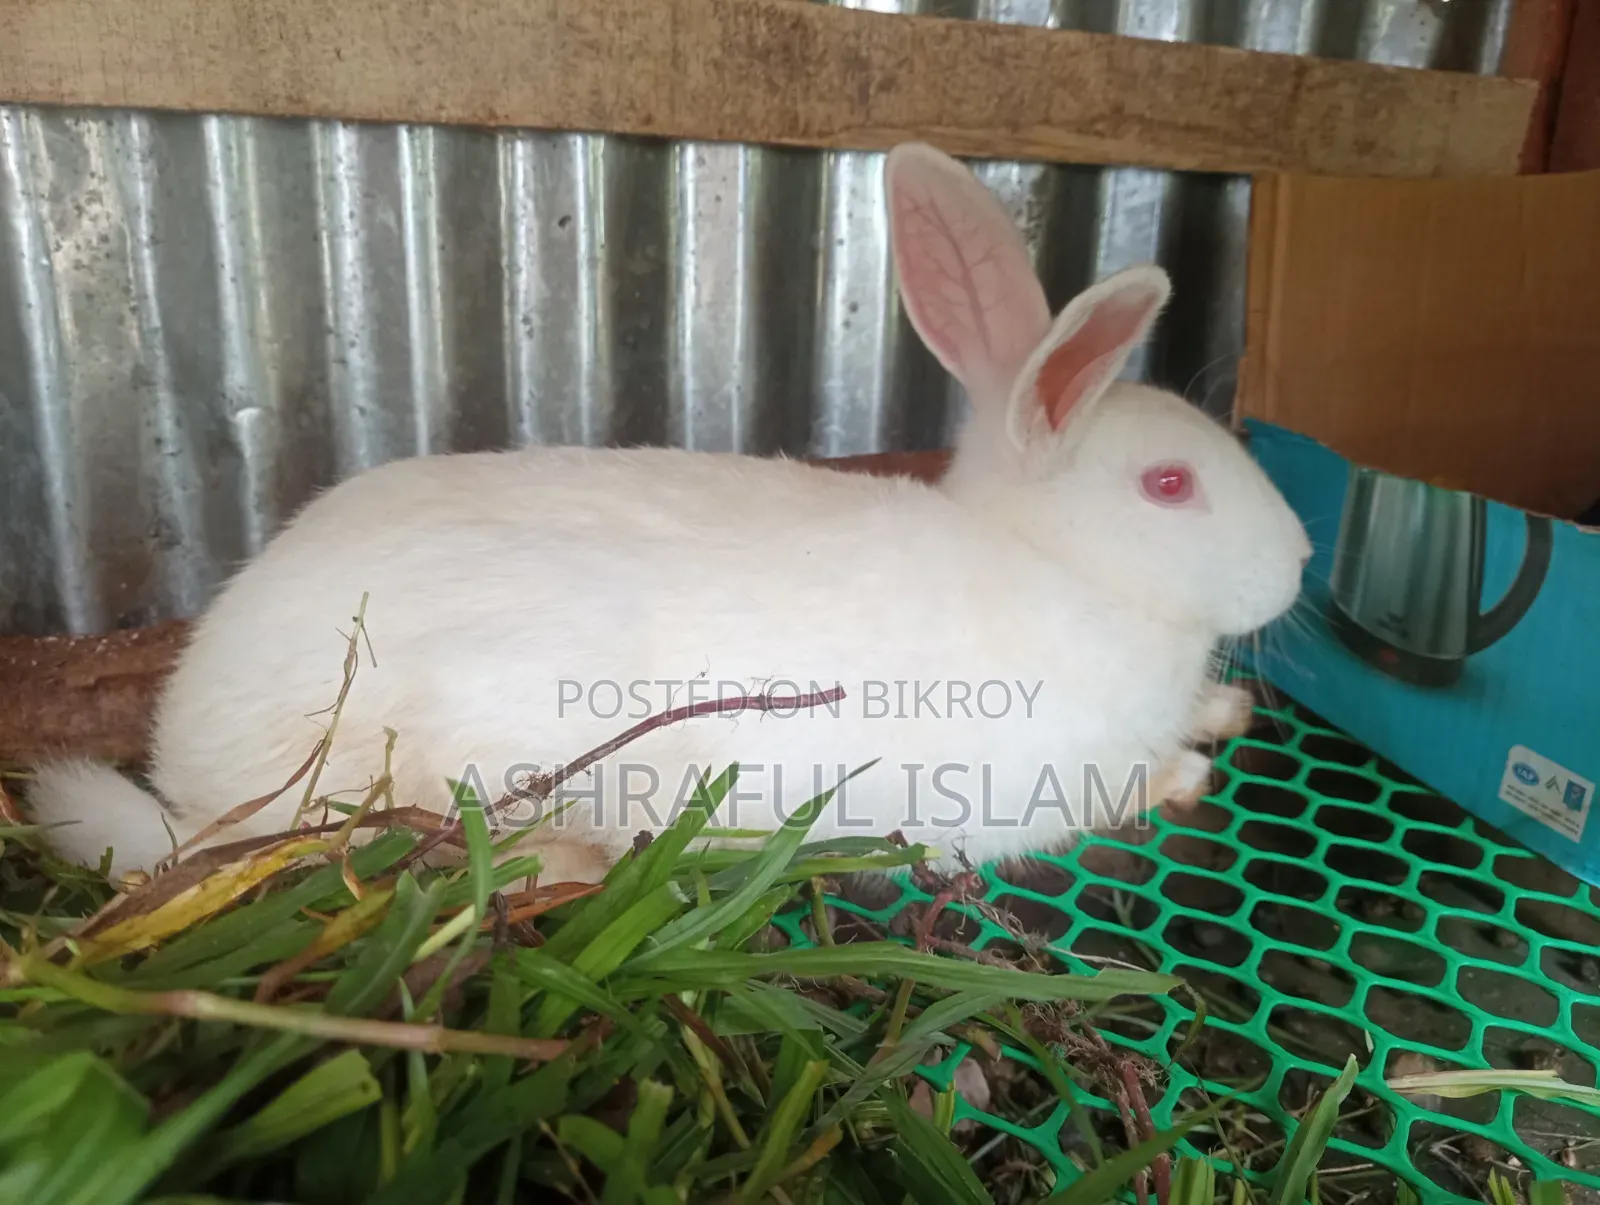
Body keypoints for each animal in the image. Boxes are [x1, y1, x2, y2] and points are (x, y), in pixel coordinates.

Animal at [25, 141, 1309, 886]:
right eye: (1169, 485)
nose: (1301, 562)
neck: (1058, 569)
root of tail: (195, 778)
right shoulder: (1053, 776)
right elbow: (1135, 780)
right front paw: (1192, 774)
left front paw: (1229, 708)